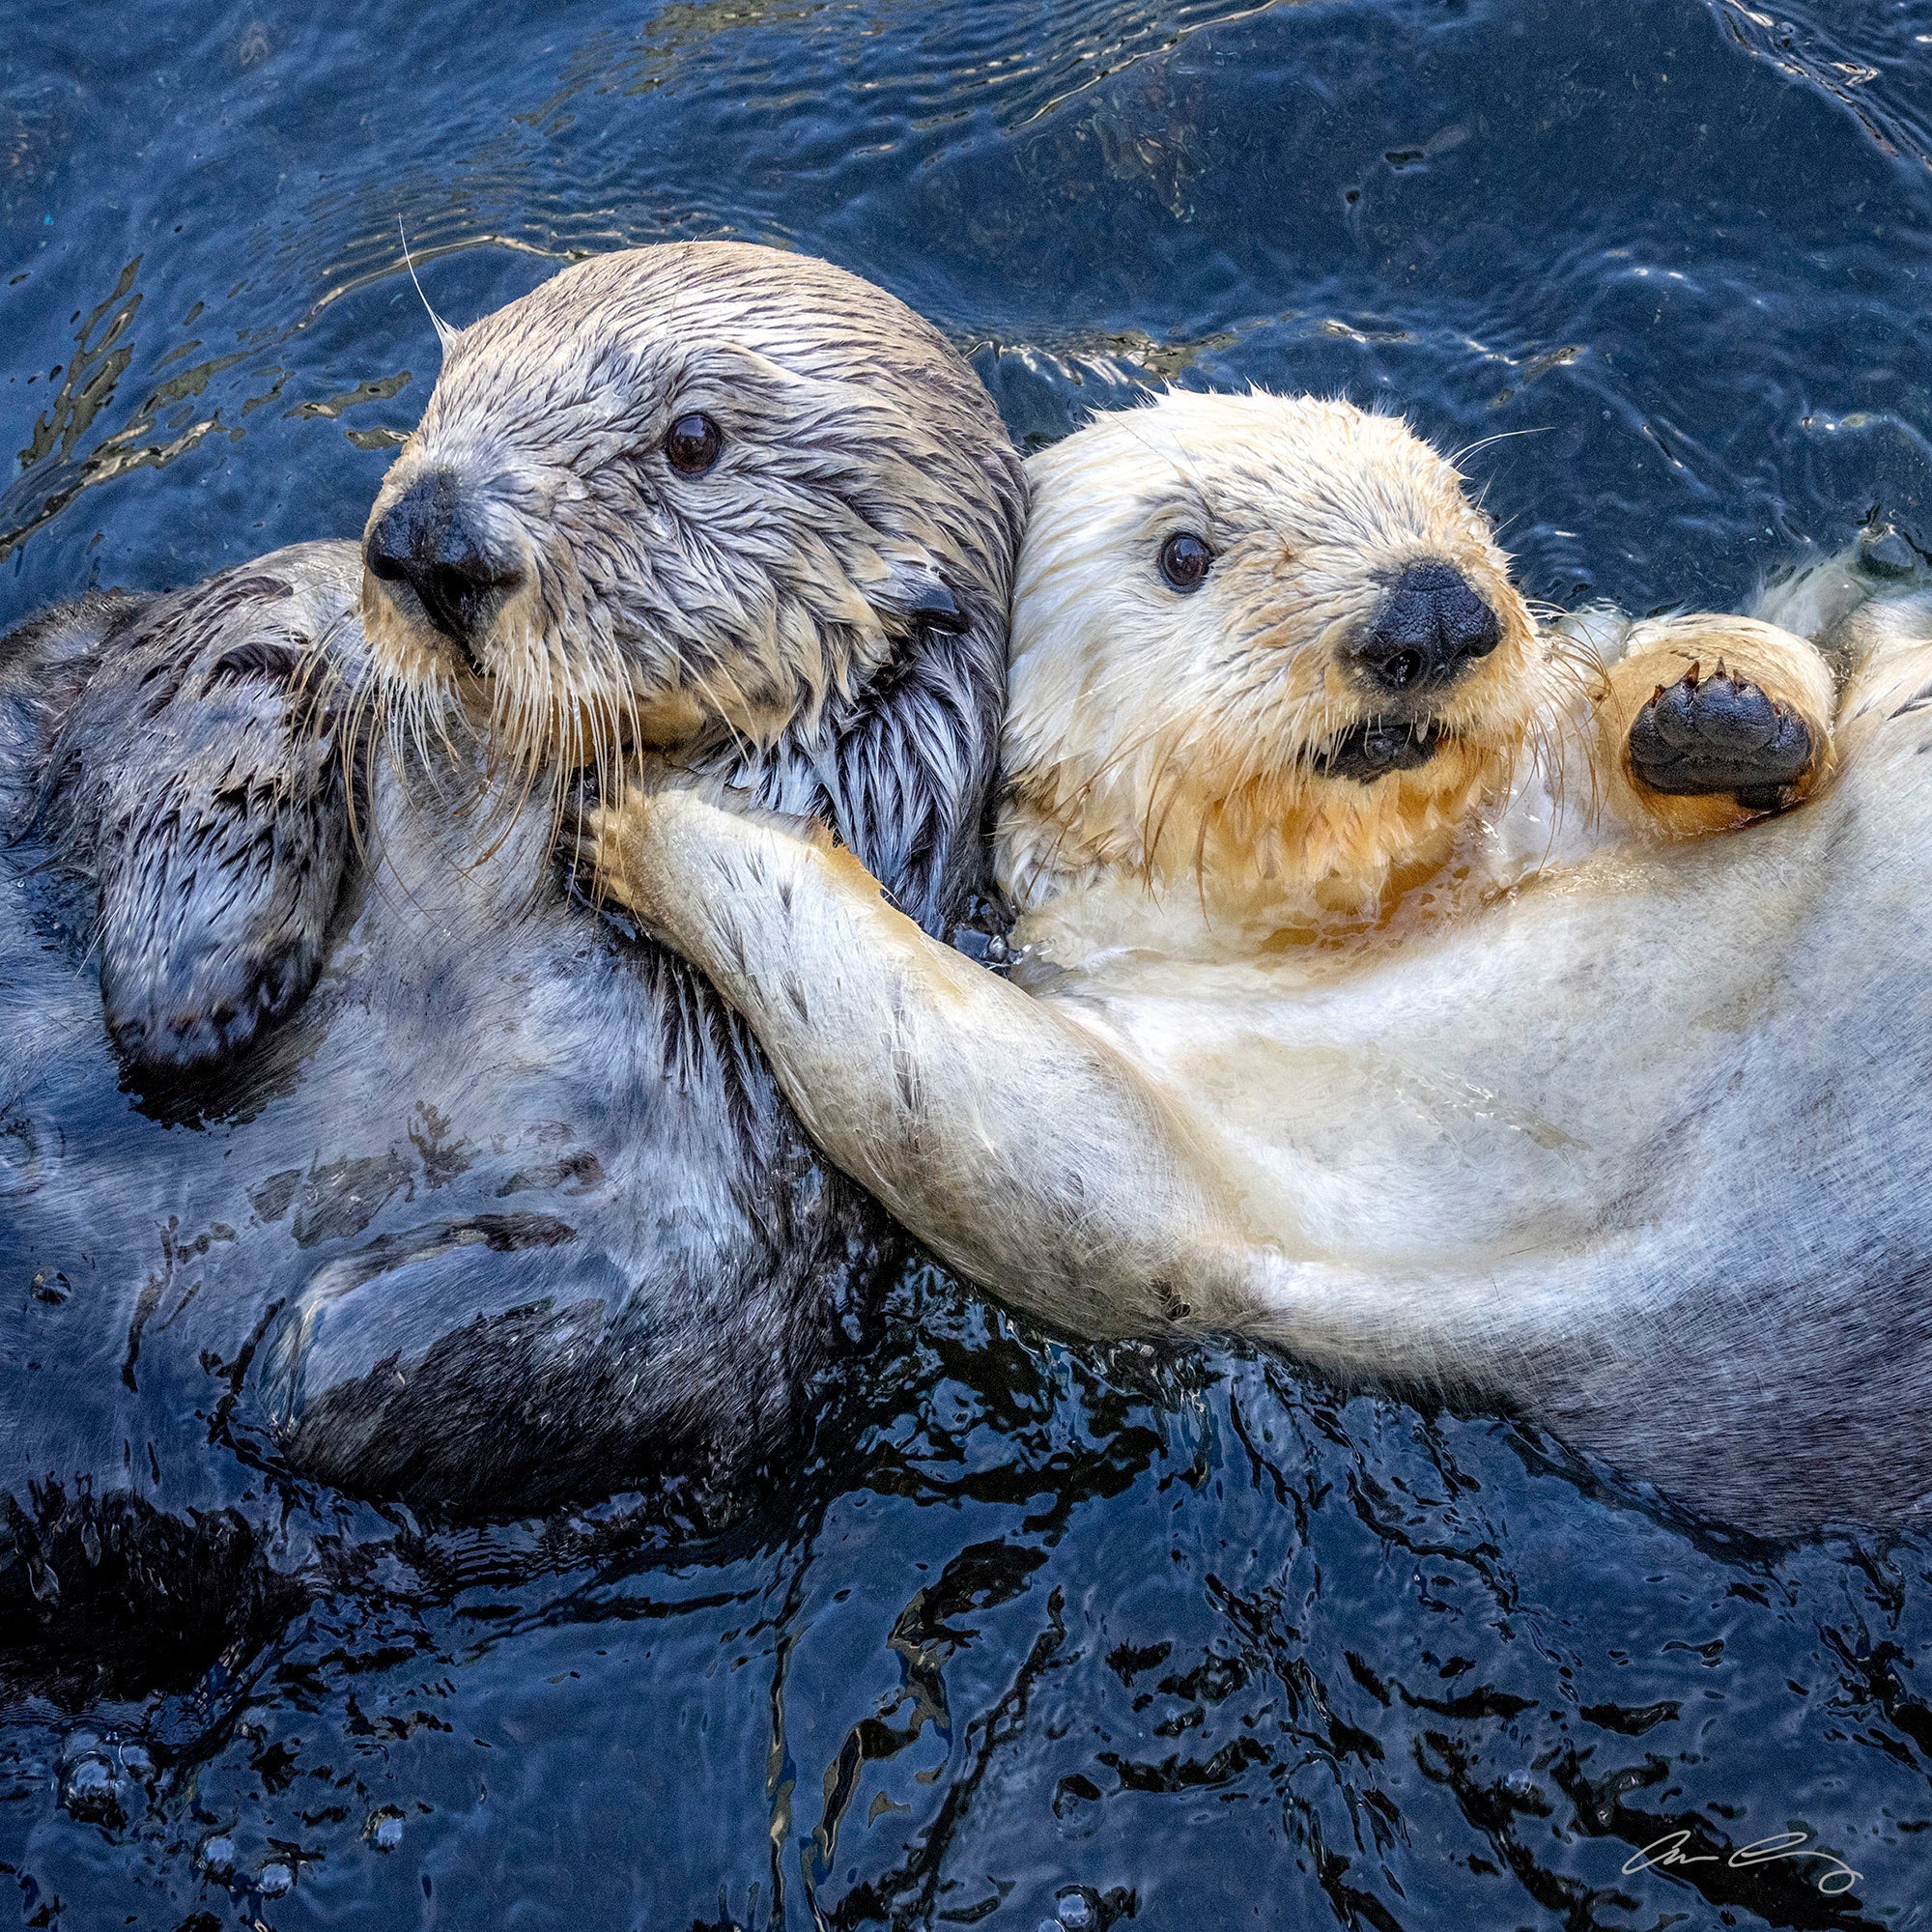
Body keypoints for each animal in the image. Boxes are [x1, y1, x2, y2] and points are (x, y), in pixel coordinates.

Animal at [0, 240, 1023, 1632]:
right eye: (452, 380)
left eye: (693, 439)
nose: (431, 534)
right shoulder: (189, 641)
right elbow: (239, 653)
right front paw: (197, 991)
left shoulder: (751, 1157)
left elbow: (657, 1319)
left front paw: (307, 1371)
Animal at [580, 390, 1928, 1532]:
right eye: (1183, 552)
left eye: (1451, 506)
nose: (1430, 610)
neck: (1381, 917)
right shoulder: (1206, 1147)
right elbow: (1015, 1142)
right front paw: (659, 814)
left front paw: (1715, 705)